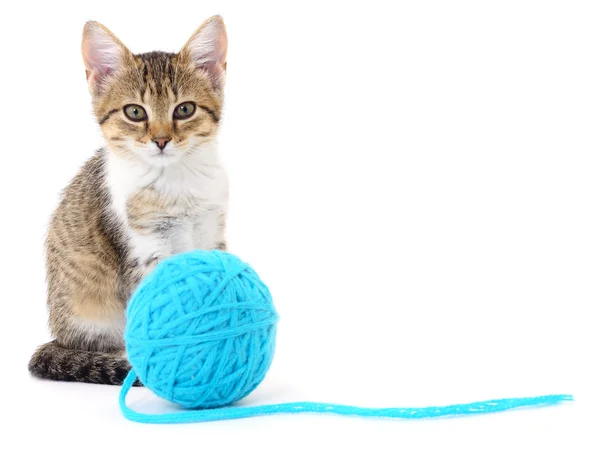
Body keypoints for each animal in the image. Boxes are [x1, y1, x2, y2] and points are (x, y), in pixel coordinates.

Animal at [25, 15, 229, 384]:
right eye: (135, 112)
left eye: (185, 109)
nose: (161, 140)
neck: (177, 182)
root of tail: (59, 337)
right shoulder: (143, 252)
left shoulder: (212, 234)